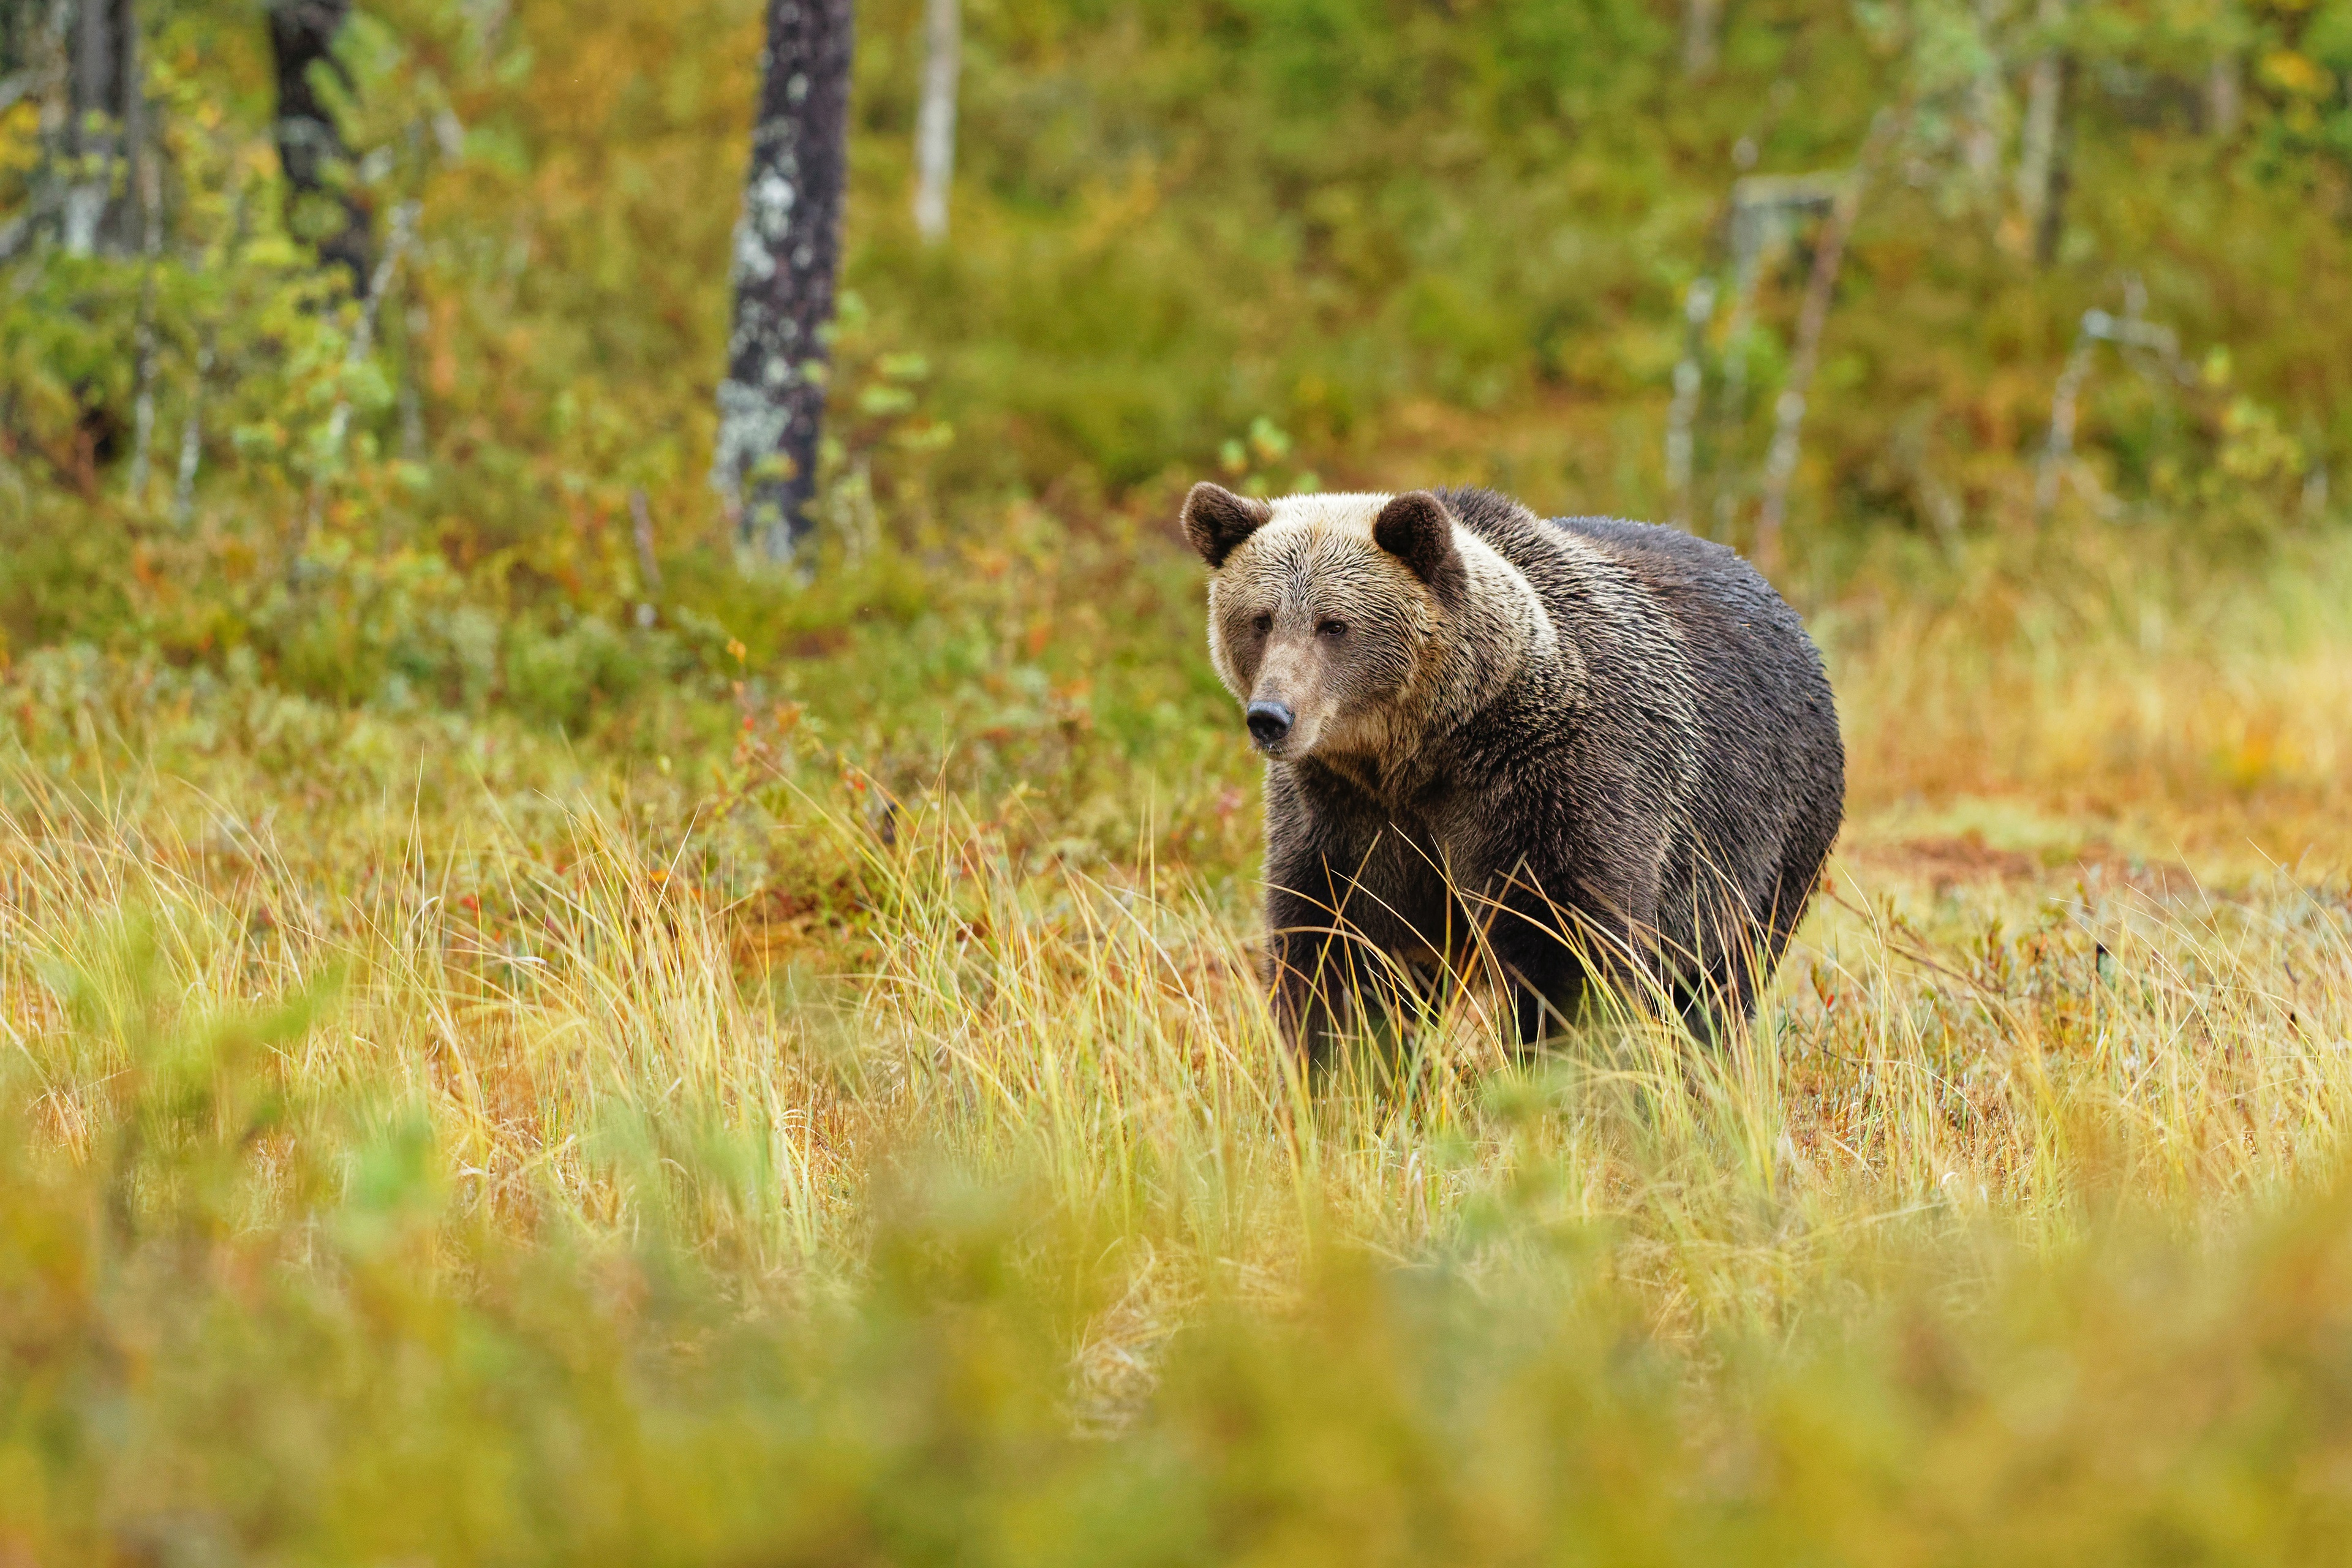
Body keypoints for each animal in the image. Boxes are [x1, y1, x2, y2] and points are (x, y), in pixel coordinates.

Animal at [1185, 481, 1844, 1053]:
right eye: (1261, 619)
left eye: (1334, 625)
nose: (1272, 716)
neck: (1424, 752)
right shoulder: (1344, 813)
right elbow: (1341, 950)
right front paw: (1342, 1071)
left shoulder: (1555, 781)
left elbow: (1564, 946)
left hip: (1764, 834)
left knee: (1718, 979)